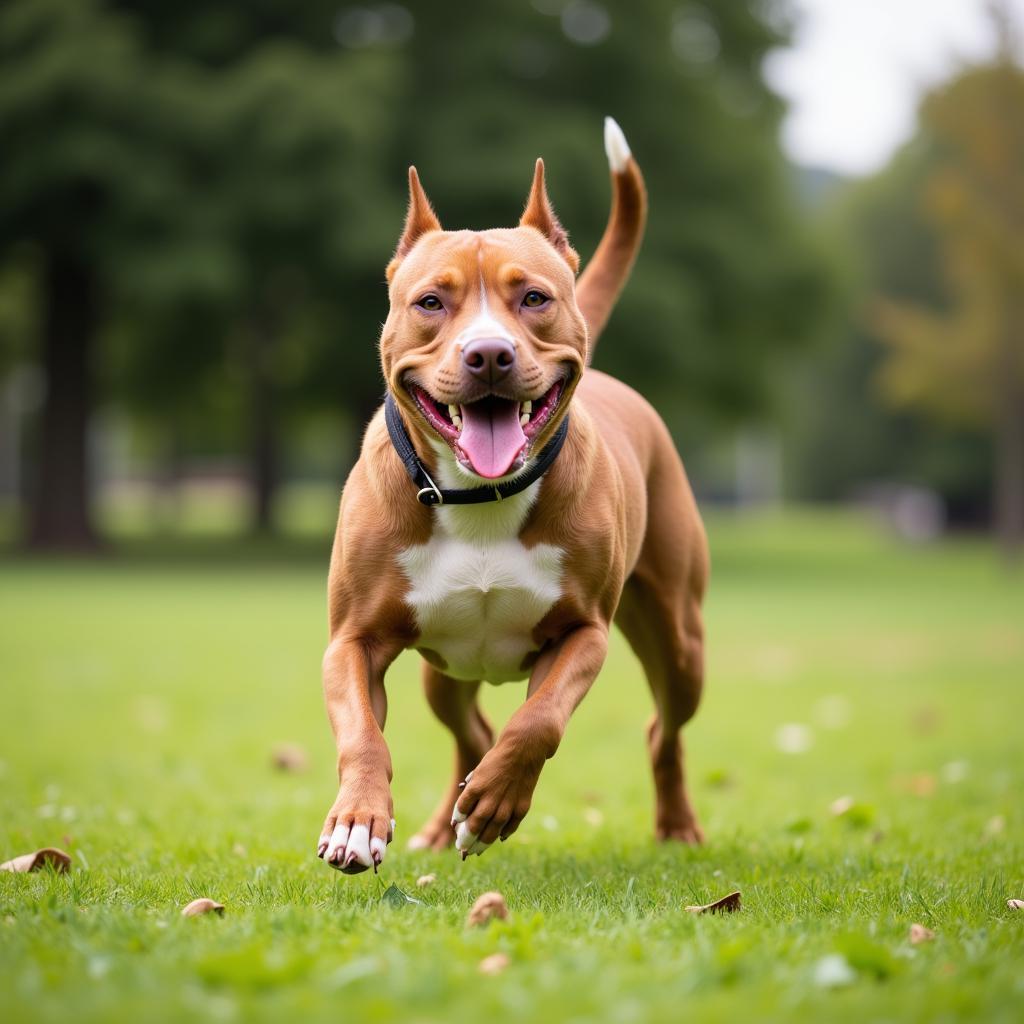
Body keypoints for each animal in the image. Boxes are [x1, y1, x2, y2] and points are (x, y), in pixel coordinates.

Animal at [315, 119, 708, 872]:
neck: (477, 500)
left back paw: (671, 826)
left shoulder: (583, 633)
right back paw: (446, 823)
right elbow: (362, 734)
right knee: (470, 727)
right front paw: (357, 821)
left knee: (661, 729)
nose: (490, 354)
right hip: (444, 670)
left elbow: (538, 721)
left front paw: (497, 801)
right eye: (430, 302)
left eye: (534, 298)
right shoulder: (353, 640)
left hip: (681, 643)